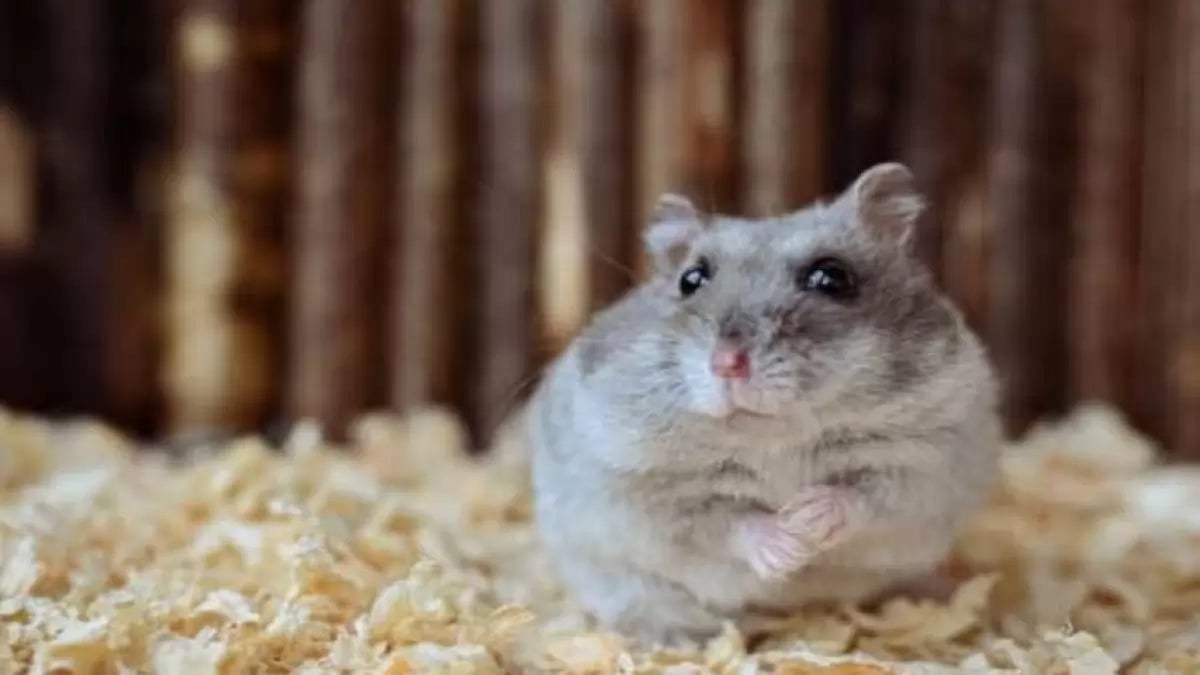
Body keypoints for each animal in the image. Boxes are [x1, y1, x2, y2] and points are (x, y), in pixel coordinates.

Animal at [527, 163, 1002, 646]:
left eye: (832, 278)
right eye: (690, 280)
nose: (727, 363)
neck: (772, 435)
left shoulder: (923, 465)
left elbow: (864, 497)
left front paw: (806, 518)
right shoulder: (650, 491)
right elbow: (723, 522)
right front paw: (787, 543)